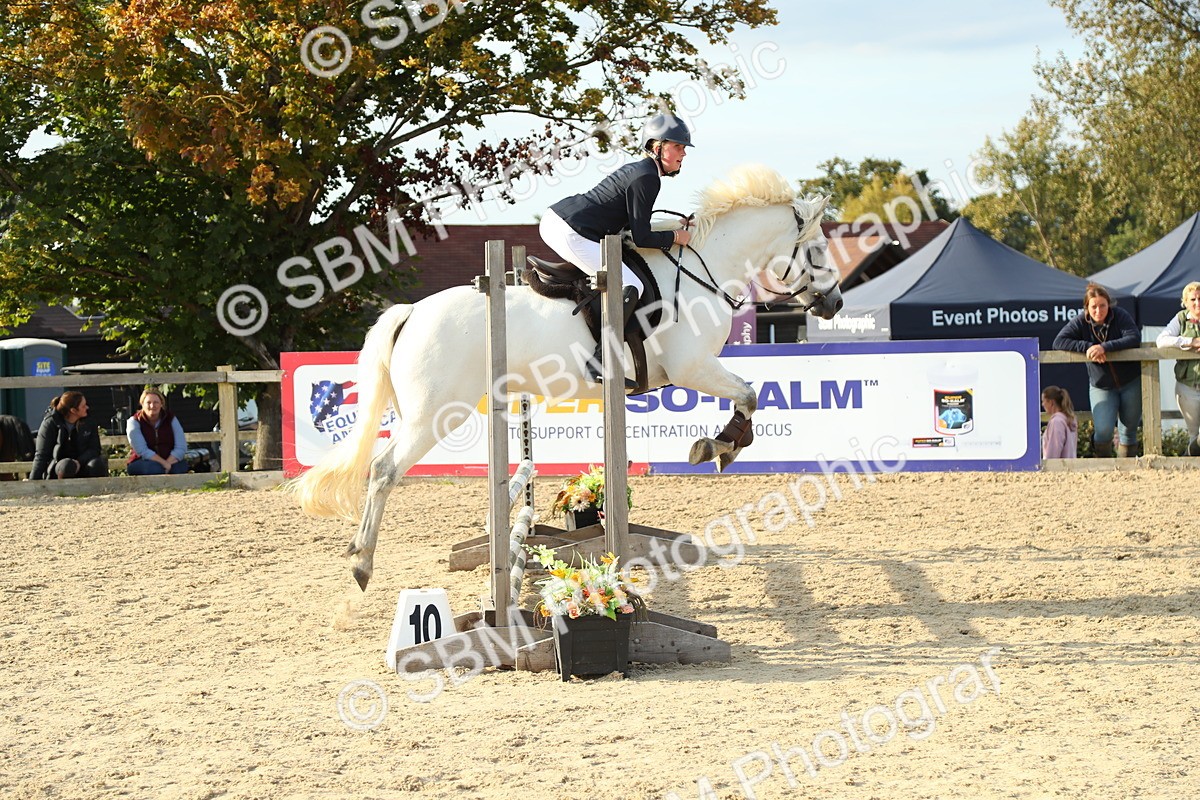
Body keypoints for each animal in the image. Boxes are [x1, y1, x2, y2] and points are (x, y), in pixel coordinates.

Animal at [292, 163, 843, 590]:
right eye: (817, 252)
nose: (835, 304)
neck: (702, 271)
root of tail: (411, 313)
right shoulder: (693, 368)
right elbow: (749, 395)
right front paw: (720, 446)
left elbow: (748, 394)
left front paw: (719, 444)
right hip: (433, 416)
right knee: (384, 470)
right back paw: (361, 562)